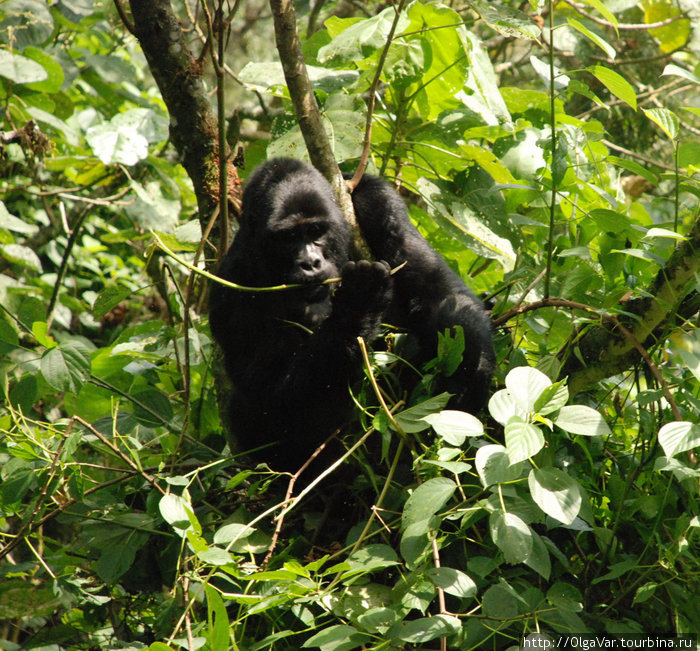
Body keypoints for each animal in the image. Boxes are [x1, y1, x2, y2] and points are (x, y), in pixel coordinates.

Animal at [211, 159, 494, 474]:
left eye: (316, 230)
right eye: (289, 237)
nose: (311, 263)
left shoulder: (378, 201)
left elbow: (435, 290)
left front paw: (466, 372)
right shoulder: (231, 284)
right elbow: (269, 394)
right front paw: (359, 302)